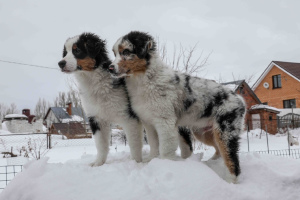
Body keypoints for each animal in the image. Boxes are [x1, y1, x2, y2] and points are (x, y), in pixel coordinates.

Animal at [109, 31, 245, 183]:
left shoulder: (165, 121)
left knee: (231, 159)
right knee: (219, 150)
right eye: (115, 53)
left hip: (225, 129)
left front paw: (165, 165)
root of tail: (238, 98)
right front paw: (151, 160)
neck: (145, 79)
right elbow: (154, 144)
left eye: (126, 51)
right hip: (204, 132)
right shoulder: (149, 123)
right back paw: (210, 163)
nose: (110, 68)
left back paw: (230, 181)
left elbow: (165, 148)